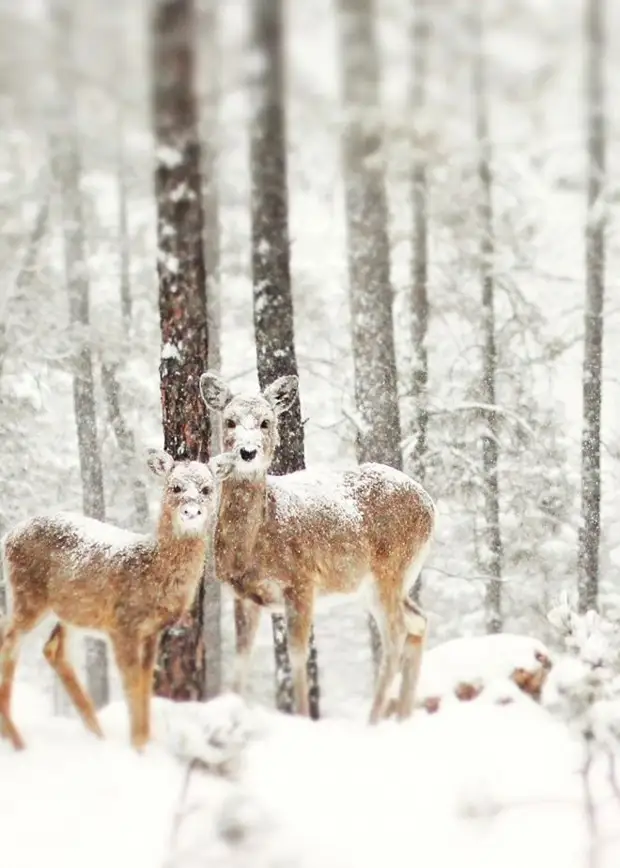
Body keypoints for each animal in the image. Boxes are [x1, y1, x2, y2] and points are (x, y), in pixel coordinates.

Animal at [0, 448, 235, 752]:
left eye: (207, 489)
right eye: (175, 487)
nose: (191, 511)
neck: (151, 569)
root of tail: (8, 536)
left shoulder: (151, 631)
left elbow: (145, 684)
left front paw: (144, 741)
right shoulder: (123, 624)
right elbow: (131, 684)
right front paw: (137, 746)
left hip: (73, 610)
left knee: (53, 649)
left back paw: (96, 733)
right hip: (27, 594)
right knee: (9, 642)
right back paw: (16, 739)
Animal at [199, 370, 436, 724]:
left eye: (266, 421)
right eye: (229, 421)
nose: (247, 452)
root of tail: (430, 504)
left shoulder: (302, 581)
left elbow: (297, 655)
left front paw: (301, 716)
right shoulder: (244, 595)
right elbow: (242, 660)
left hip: (391, 568)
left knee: (396, 633)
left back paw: (373, 719)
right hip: (379, 584)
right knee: (418, 621)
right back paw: (402, 716)